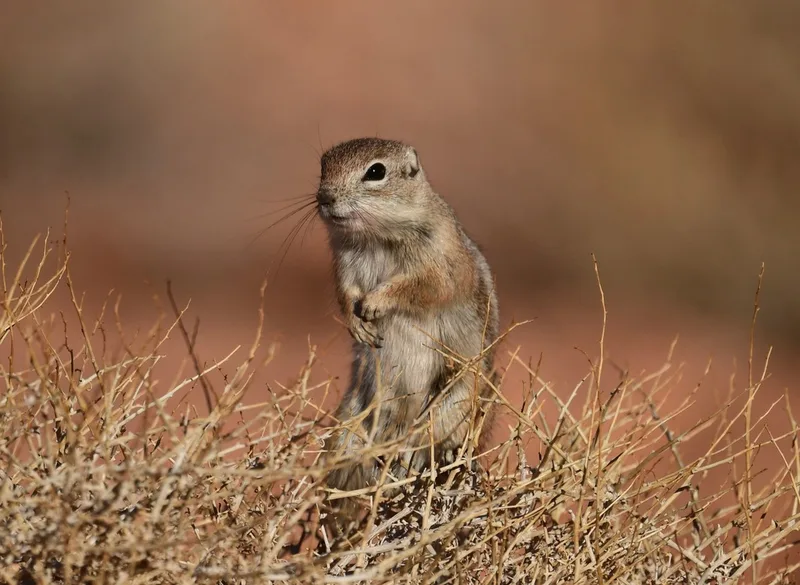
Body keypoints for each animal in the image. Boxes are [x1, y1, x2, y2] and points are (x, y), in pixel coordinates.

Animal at [316, 137, 499, 504]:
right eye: (322, 165)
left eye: (376, 172)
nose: (324, 197)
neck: (374, 236)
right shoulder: (343, 264)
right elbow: (345, 294)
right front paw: (357, 324)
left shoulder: (439, 263)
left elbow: (419, 286)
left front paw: (375, 302)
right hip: (353, 415)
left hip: (458, 399)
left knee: (435, 437)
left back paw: (414, 454)